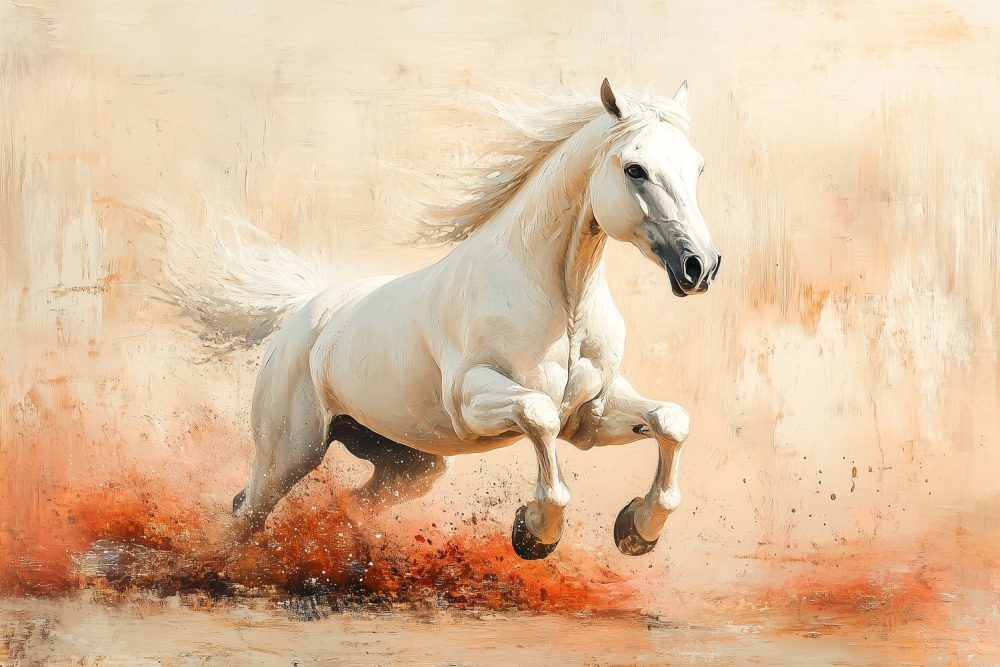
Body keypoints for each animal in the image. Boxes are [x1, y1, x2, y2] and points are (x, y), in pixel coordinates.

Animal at [154, 78, 721, 560]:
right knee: (246, 513)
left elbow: (673, 420)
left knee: (351, 504)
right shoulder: (473, 400)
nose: (700, 266)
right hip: (289, 452)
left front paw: (637, 529)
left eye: (697, 168)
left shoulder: (591, 416)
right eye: (635, 169)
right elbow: (538, 415)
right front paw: (534, 532)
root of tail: (307, 314)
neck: (565, 306)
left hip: (410, 465)